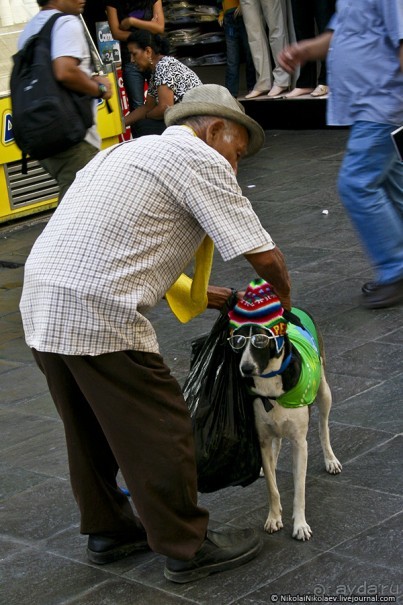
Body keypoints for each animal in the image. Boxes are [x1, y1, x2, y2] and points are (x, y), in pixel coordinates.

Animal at [229, 280, 342, 540]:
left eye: (260, 341)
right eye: (238, 343)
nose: (245, 369)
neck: (270, 385)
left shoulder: (300, 443)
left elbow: (299, 490)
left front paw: (300, 525)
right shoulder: (262, 437)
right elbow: (272, 487)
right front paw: (273, 518)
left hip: (324, 393)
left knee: (323, 427)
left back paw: (331, 459)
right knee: (276, 445)